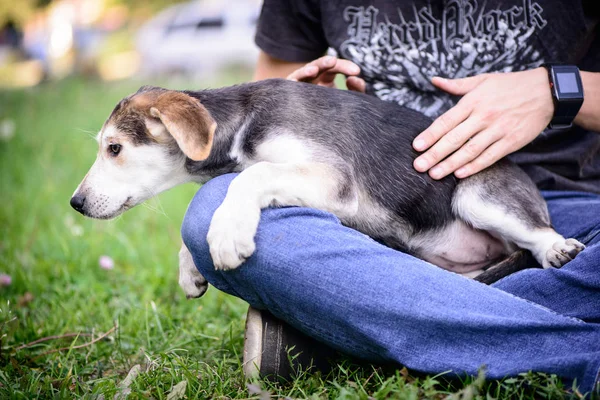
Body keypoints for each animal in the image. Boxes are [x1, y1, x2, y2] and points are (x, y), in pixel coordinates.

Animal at [70, 79, 584, 296]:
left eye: (114, 148)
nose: (75, 204)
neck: (242, 124)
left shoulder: (334, 178)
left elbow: (250, 175)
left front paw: (226, 234)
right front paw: (189, 267)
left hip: (477, 195)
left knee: (536, 235)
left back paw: (557, 248)